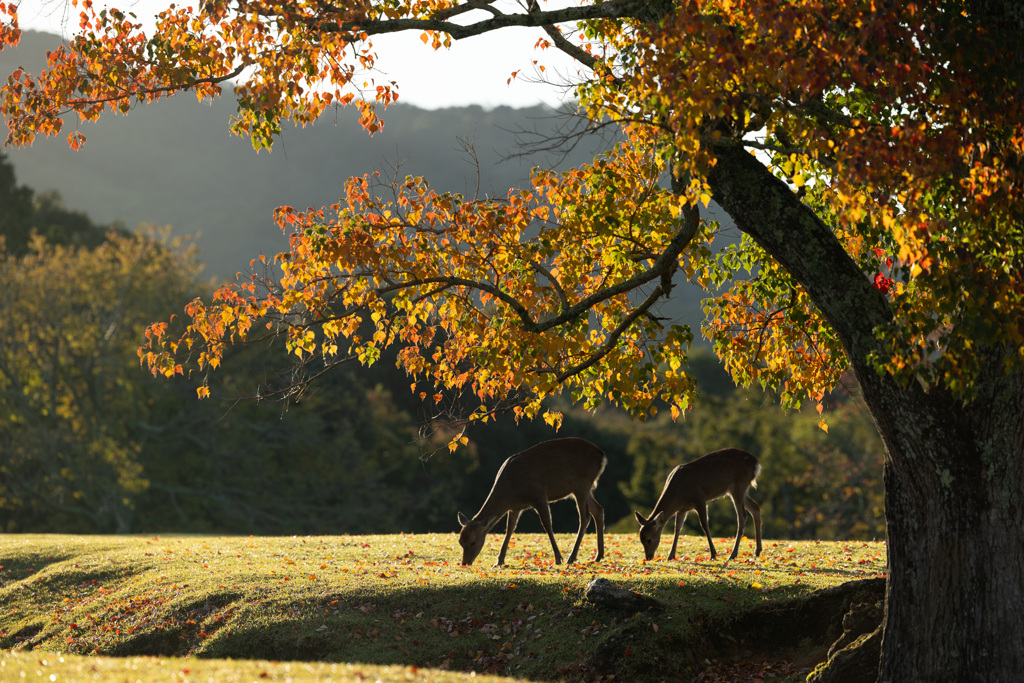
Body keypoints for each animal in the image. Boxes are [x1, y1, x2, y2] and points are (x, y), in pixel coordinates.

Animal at [458, 438, 606, 565]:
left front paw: (558, 558)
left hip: (582, 484)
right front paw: (499, 561)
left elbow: (547, 524)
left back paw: (572, 557)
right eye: (460, 542)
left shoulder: (539, 496)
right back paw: (599, 555)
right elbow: (510, 528)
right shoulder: (515, 507)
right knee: (598, 510)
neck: (511, 492)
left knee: (585, 516)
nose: (465, 563)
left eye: (472, 542)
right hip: (585, 488)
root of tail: (602, 455)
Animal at [630, 448, 761, 561]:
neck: (678, 493)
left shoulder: (700, 499)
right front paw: (670, 556)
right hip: (739, 490)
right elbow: (677, 528)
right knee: (755, 507)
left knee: (742, 516)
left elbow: (704, 525)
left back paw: (733, 554)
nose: (648, 557)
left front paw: (713, 554)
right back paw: (757, 551)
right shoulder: (682, 509)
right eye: (641, 540)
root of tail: (756, 463)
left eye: (649, 540)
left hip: (739, 486)